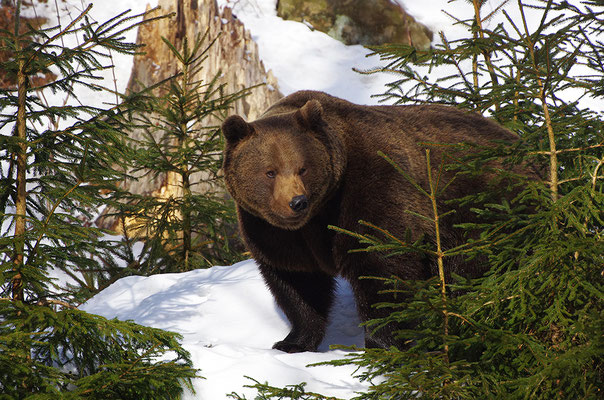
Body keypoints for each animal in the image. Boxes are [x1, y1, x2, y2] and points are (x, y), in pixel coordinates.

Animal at [219, 90, 520, 354]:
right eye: (270, 172)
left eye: (302, 168)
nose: (297, 202)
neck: (318, 215)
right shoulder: (272, 232)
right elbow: (297, 283)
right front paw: (292, 342)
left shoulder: (372, 189)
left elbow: (381, 267)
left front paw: (381, 345)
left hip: (478, 211)